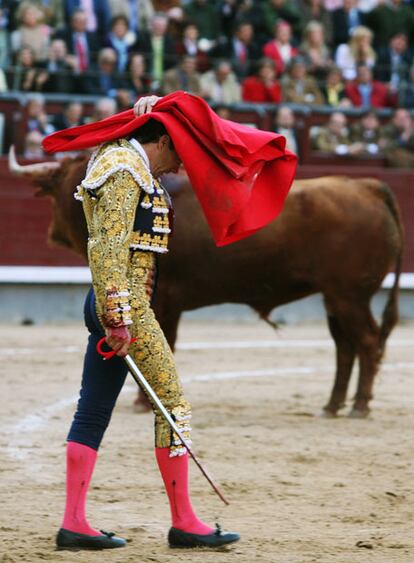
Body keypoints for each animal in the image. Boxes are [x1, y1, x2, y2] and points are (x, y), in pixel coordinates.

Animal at [8, 148, 404, 420]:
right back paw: (332, 405)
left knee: (367, 342)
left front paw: (143, 401)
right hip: (334, 297)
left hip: (349, 296)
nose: (53, 234)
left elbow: (160, 342)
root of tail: (367, 186)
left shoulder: (164, 299)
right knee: (345, 347)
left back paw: (359, 407)